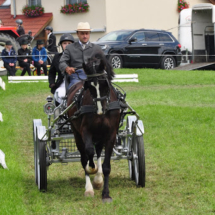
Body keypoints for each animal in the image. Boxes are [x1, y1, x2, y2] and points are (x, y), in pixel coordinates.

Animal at [66, 52, 122, 202]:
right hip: (77, 134)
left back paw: (98, 180)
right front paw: (92, 169)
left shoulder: (110, 134)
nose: (100, 110)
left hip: (100, 135)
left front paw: (106, 193)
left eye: (105, 84)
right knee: (84, 157)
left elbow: (106, 165)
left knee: (98, 152)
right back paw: (89, 188)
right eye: (89, 87)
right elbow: (89, 153)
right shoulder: (86, 132)